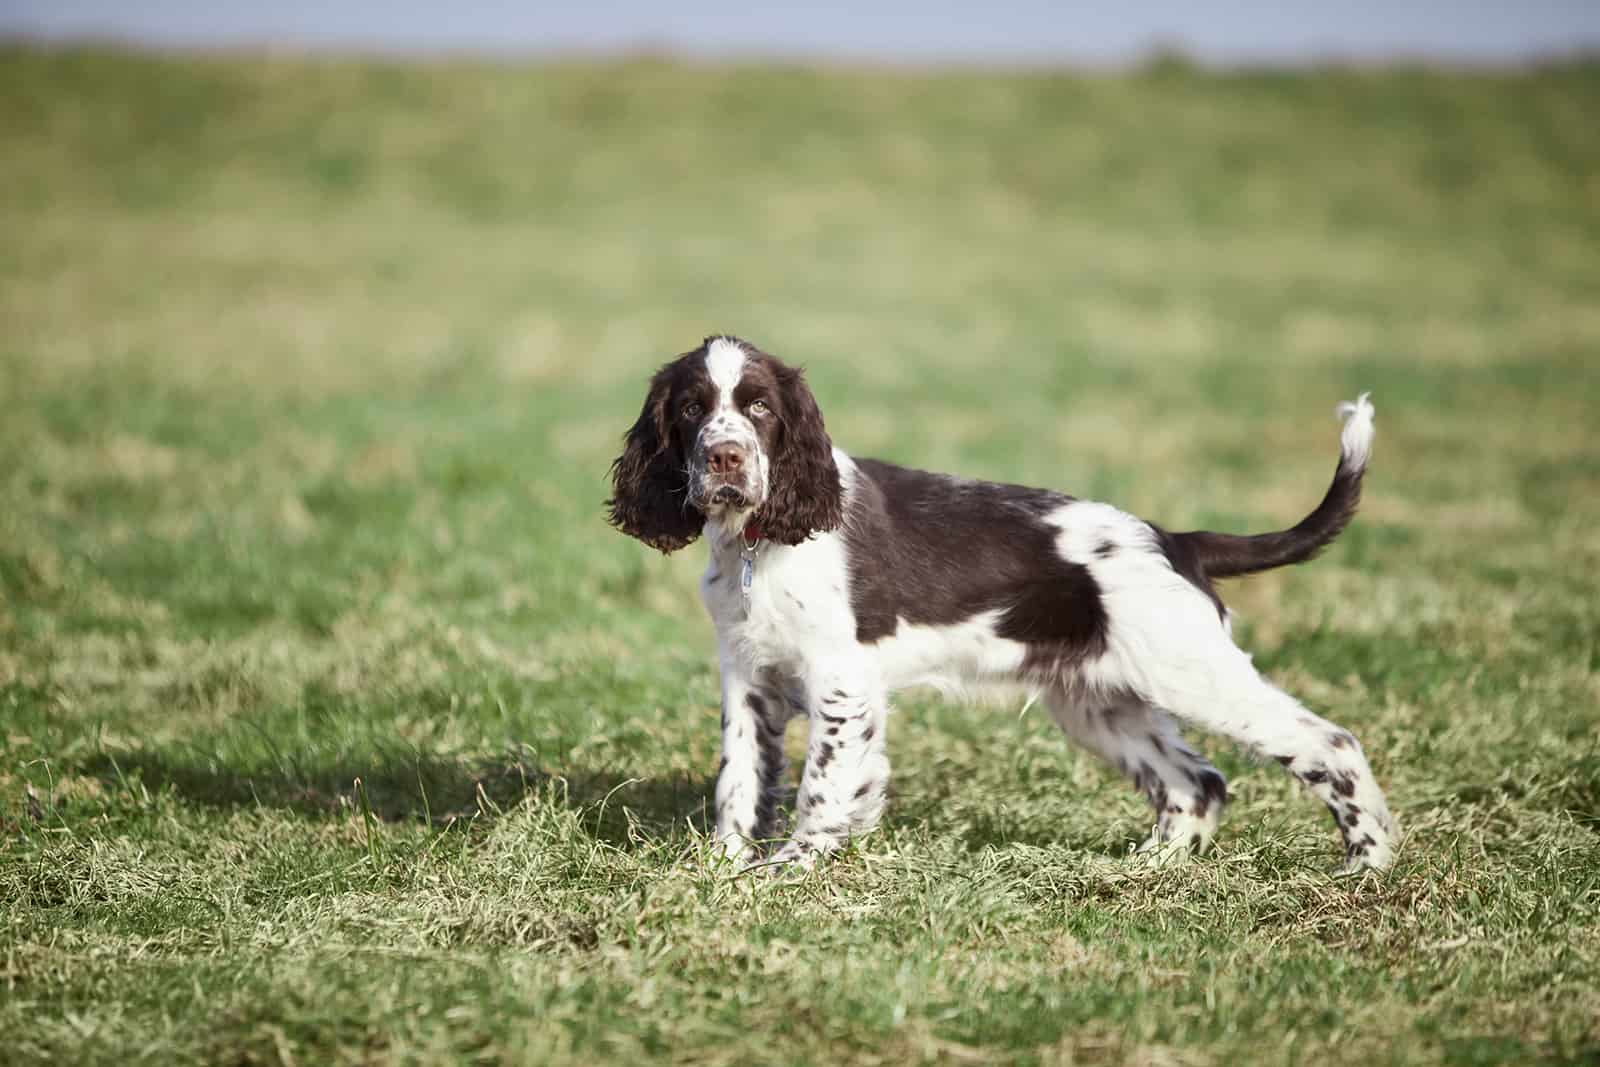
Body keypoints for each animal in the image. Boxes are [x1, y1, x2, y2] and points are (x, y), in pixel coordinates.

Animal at [604, 335, 1395, 876]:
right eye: (691, 409)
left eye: (760, 407)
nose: (725, 459)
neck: (759, 540)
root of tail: (1176, 540)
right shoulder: (748, 676)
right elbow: (740, 780)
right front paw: (723, 866)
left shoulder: (840, 680)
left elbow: (821, 785)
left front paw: (793, 867)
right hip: (1099, 701)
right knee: (1195, 782)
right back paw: (1149, 869)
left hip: (1193, 673)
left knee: (1330, 744)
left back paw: (1370, 863)